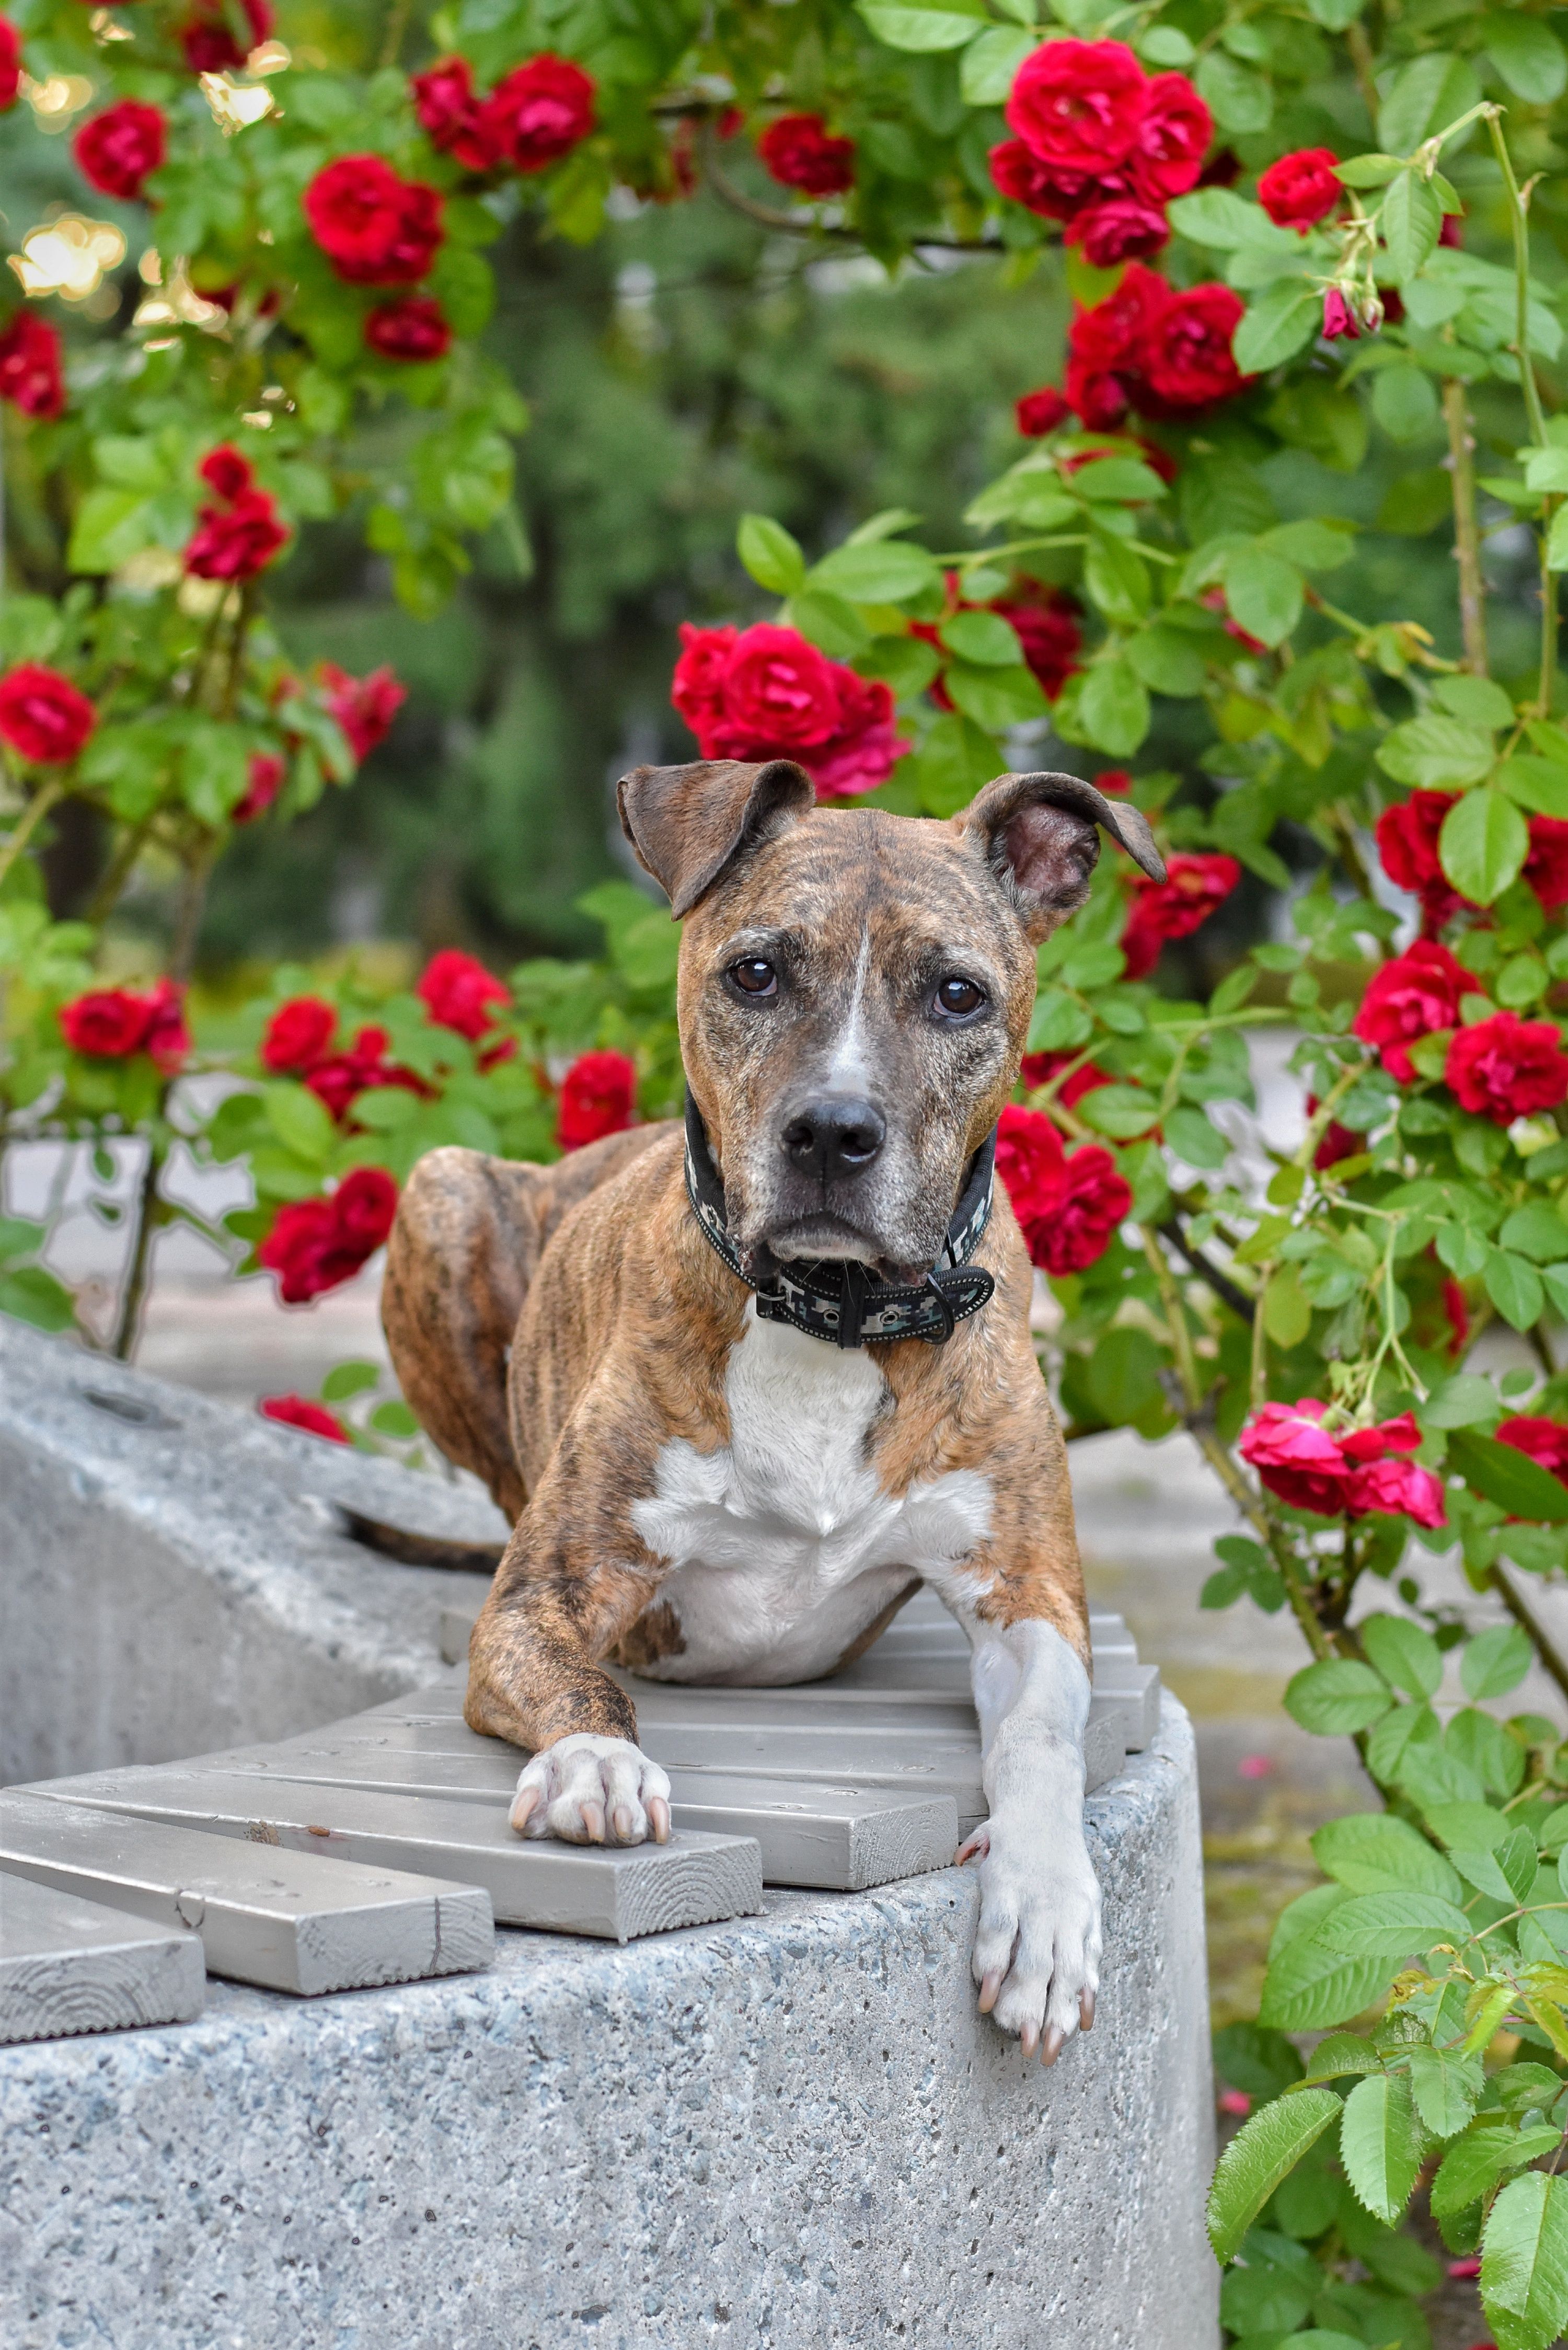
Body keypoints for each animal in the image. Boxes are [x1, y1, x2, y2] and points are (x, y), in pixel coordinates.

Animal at [381, 752, 1166, 2058]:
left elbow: (1045, 1734)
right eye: (755, 971)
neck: (831, 1317)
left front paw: (1048, 1910)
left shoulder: (1028, 1594)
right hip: (438, 1189)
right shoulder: (541, 1600)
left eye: (958, 994)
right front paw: (597, 1762)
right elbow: (580, 1674)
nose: (834, 1131)